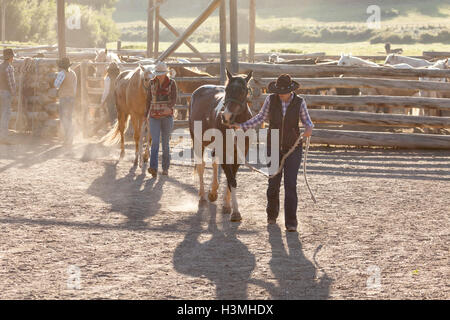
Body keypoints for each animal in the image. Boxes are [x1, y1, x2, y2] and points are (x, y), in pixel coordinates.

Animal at [188, 69, 253, 221]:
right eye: (227, 90)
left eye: (243, 90)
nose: (227, 116)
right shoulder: (224, 151)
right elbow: (231, 179)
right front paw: (236, 212)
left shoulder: (238, 154)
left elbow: (231, 178)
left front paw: (227, 205)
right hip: (197, 140)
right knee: (201, 166)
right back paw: (203, 196)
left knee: (214, 163)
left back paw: (213, 192)